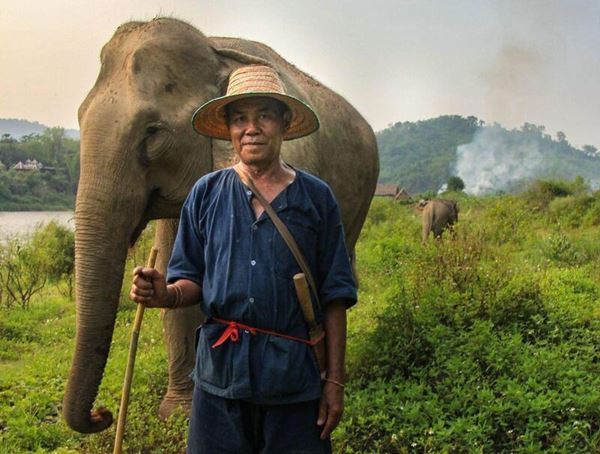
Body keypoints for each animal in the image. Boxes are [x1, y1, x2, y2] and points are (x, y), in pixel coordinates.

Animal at [62, 18, 380, 436]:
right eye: (79, 118)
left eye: (152, 133)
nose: (104, 414)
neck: (214, 48)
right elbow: (180, 272)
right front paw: (178, 413)